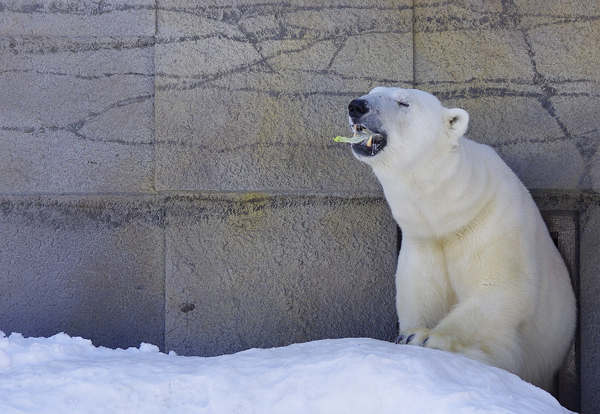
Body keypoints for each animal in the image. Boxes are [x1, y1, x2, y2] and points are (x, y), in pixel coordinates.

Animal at [344, 86, 580, 392]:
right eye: (373, 91)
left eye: (403, 102)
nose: (357, 106)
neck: (452, 214)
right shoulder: (424, 242)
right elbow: (419, 294)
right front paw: (411, 333)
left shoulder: (494, 225)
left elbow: (499, 290)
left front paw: (423, 337)